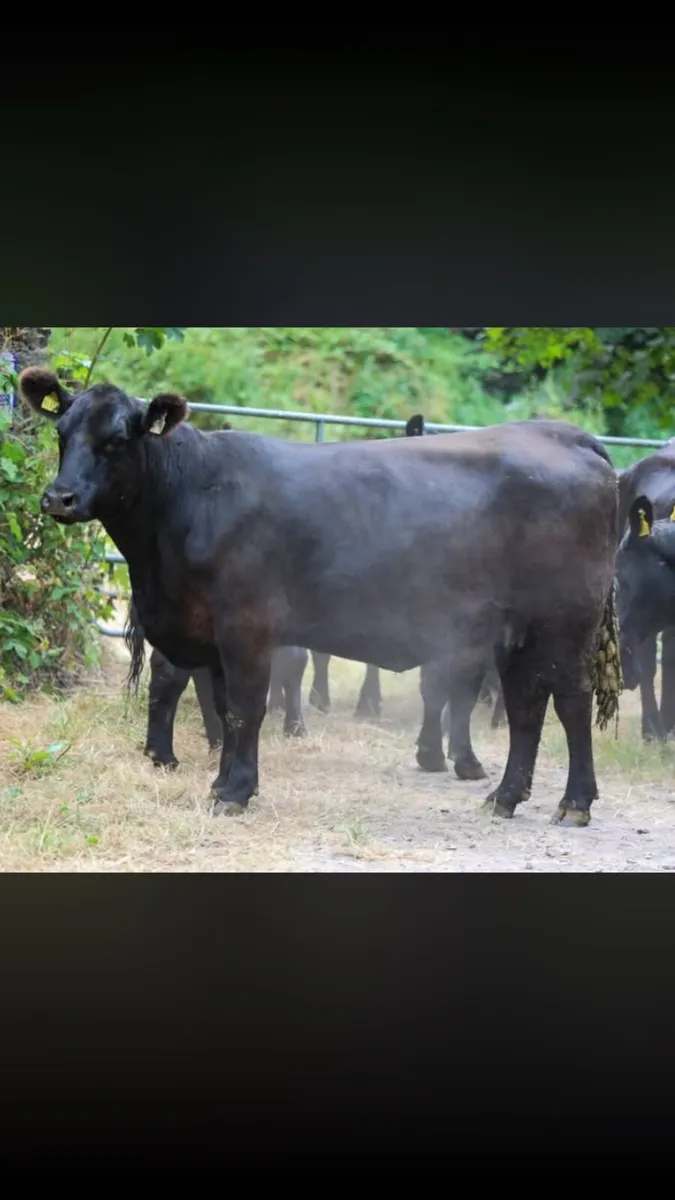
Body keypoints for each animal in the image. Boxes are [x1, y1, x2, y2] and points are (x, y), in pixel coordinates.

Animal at [21, 366, 620, 828]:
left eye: (117, 439)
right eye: (62, 432)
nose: (59, 497)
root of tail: (563, 435)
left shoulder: (246, 628)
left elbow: (244, 709)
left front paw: (234, 792)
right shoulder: (208, 633)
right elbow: (223, 707)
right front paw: (223, 783)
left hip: (566, 623)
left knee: (569, 701)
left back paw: (574, 802)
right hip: (515, 630)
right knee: (525, 705)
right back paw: (504, 797)